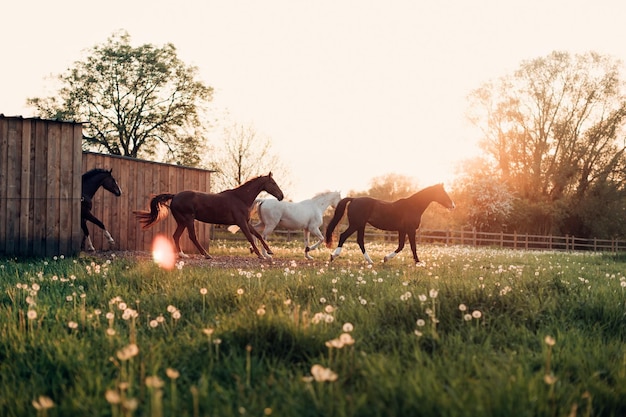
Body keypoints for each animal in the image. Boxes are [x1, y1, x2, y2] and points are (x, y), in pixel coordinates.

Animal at [136, 171, 286, 256]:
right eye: (273, 183)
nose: (281, 196)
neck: (240, 198)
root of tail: (175, 196)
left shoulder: (246, 222)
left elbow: (258, 235)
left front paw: (269, 251)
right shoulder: (241, 222)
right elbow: (250, 237)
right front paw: (260, 255)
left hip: (182, 221)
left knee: (176, 236)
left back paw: (182, 255)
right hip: (188, 219)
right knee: (192, 236)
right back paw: (206, 254)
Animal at [322, 184, 454, 264]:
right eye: (443, 193)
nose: (453, 205)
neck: (412, 207)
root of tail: (354, 199)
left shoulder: (402, 230)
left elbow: (401, 246)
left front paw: (385, 258)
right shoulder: (411, 230)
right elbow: (413, 247)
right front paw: (418, 262)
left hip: (361, 225)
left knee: (360, 241)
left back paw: (370, 261)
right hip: (355, 225)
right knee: (344, 236)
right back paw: (333, 256)